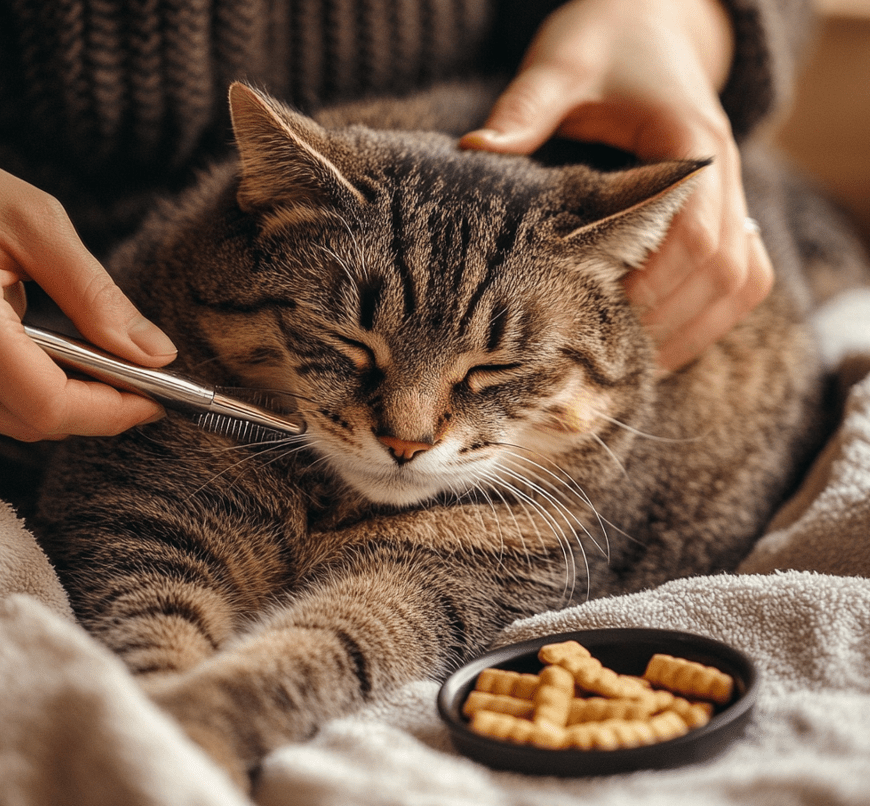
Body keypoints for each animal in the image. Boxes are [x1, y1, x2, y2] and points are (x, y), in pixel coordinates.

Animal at [34, 79, 852, 784]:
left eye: (494, 368)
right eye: (352, 341)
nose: (407, 442)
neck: (325, 505)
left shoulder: (439, 580)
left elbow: (307, 652)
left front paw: (190, 728)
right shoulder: (142, 508)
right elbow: (146, 629)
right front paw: (143, 740)